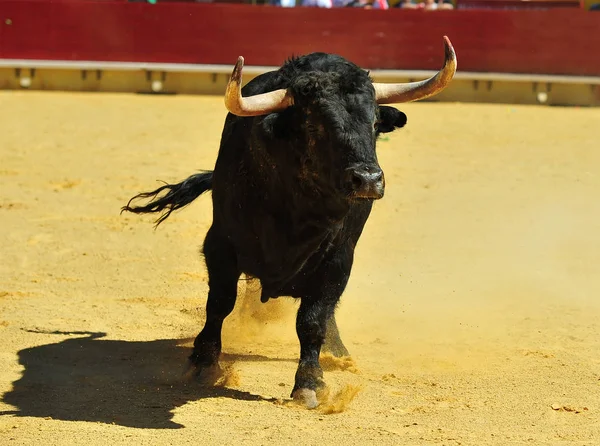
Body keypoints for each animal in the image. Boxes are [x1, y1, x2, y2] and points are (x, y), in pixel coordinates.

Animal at [124, 37, 458, 408]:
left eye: (374, 124)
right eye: (314, 125)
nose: (368, 180)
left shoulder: (338, 259)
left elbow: (313, 319)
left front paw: (310, 383)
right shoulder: (220, 245)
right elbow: (220, 303)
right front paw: (202, 364)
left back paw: (337, 353)